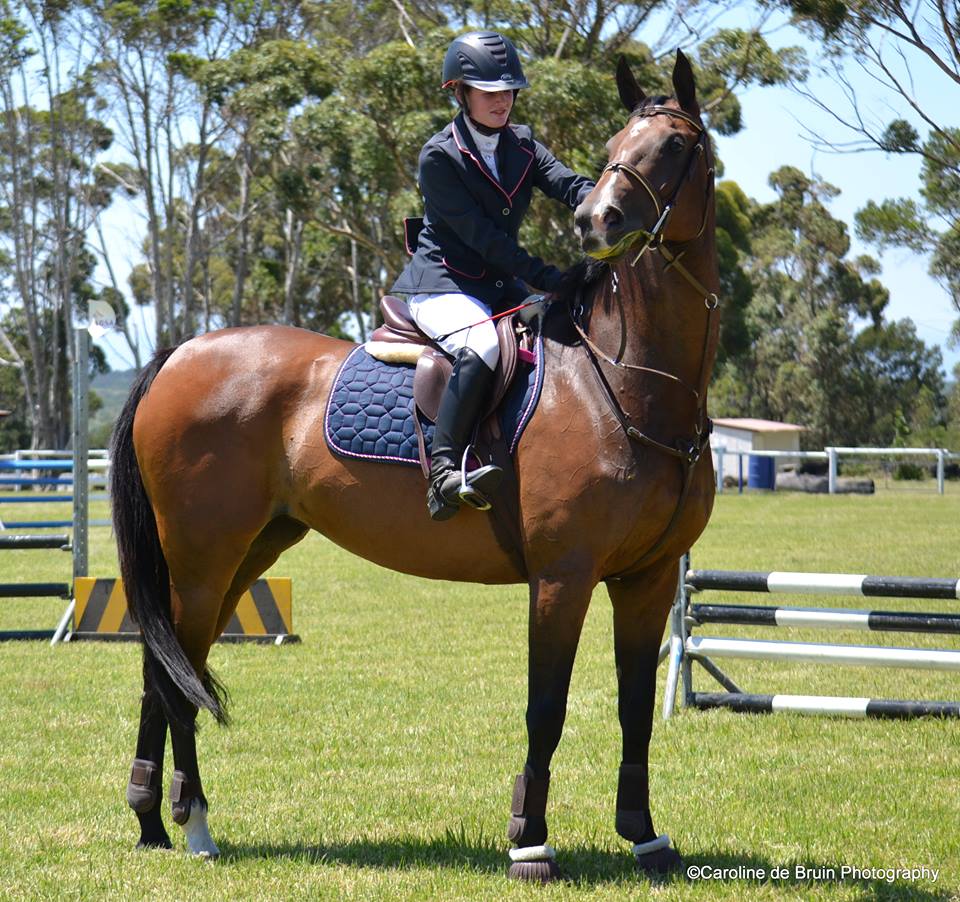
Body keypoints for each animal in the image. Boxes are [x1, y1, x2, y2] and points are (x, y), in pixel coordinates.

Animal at [109, 50, 719, 881]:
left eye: (676, 143)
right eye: (616, 141)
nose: (596, 220)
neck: (626, 380)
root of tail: (178, 354)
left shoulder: (648, 577)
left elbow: (633, 709)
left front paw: (646, 836)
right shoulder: (563, 576)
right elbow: (546, 707)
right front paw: (530, 841)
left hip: (248, 551)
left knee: (169, 663)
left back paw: (152, 821)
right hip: (203, 555)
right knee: (176, 672)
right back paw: (195, 824)